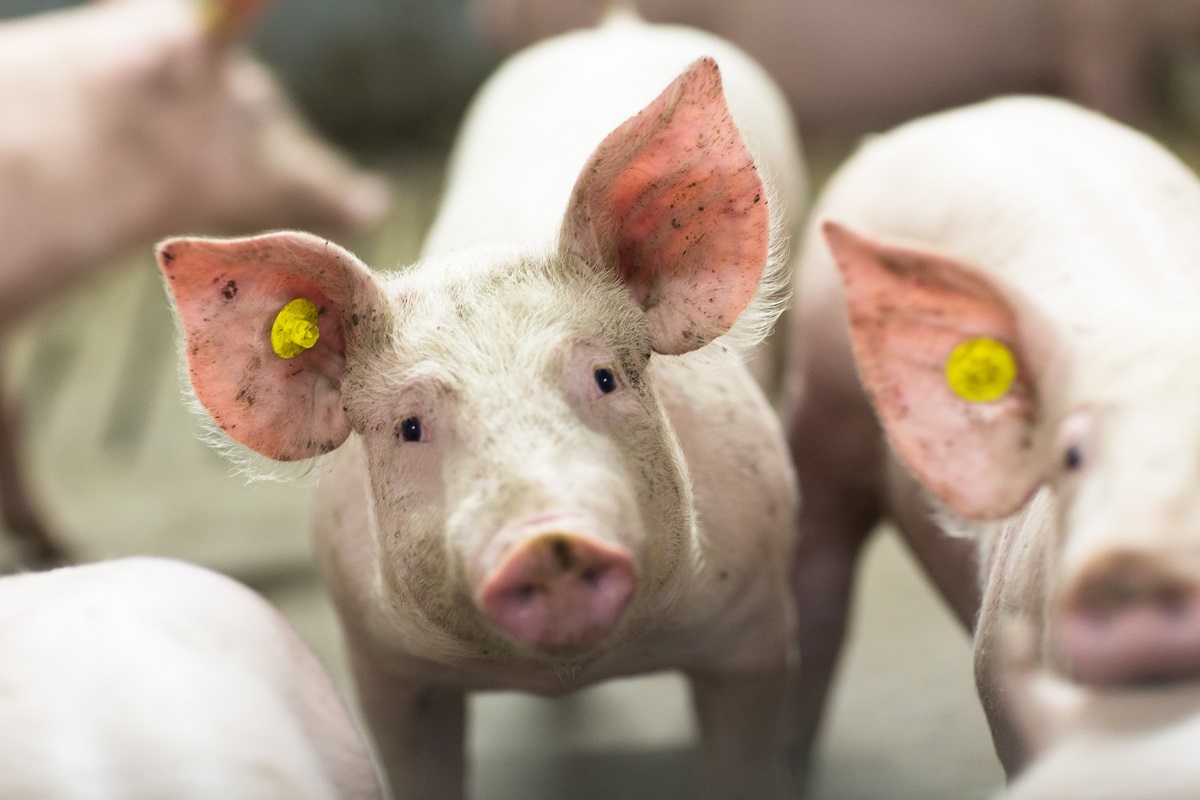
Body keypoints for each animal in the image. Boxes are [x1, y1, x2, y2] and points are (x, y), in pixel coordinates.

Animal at [0, 0, 391, 564]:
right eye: (259, 107)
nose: (373, 193)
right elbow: (13, 412)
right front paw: (66, 549)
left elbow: (13, 410)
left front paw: (58, 546)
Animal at [156, 12, 804, 800]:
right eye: (409, 426)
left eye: (605, 378)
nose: (547, 540)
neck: (563, 671)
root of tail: (614, 27)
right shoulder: (385, 669)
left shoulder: (755, 630)